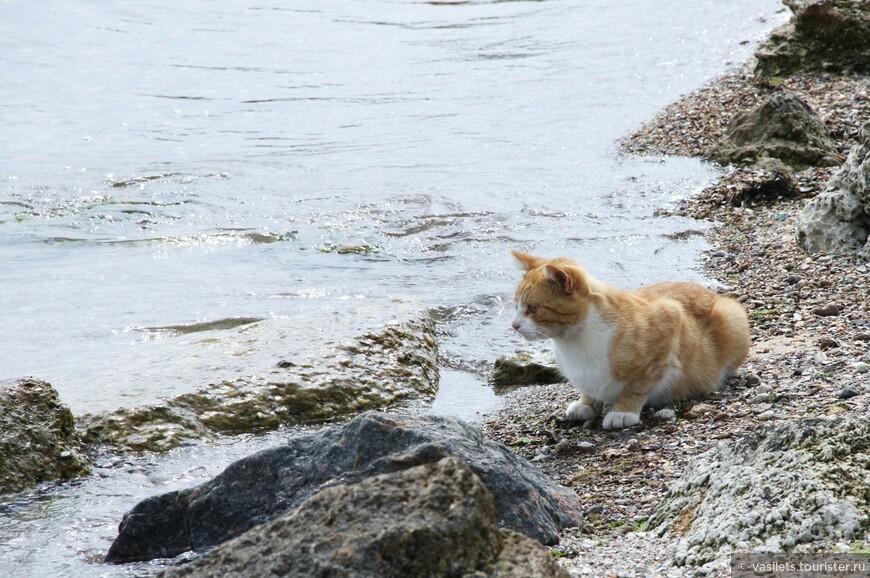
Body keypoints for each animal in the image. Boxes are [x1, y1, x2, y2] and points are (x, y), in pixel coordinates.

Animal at [510, 251, 748, 428]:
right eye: (516, 306)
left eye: (533, 308)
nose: (513, 325)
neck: (574, 342)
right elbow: (590, 389)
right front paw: (587, 403)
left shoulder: (670, 319)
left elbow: (638, 386)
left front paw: (623, 412)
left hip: (732, 315)